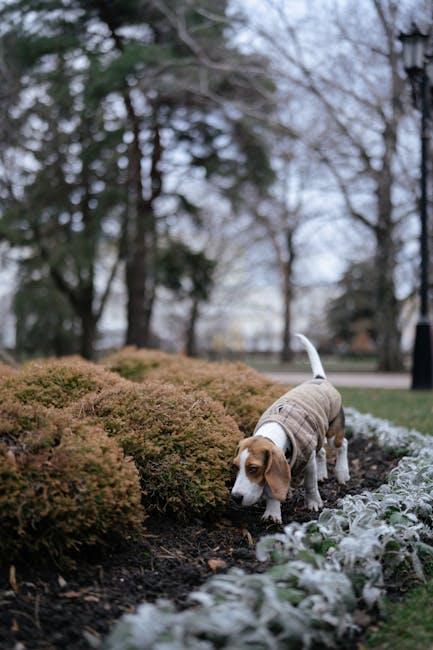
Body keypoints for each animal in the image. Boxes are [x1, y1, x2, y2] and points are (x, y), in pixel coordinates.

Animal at [231, 334, 350, 520]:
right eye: (236, 466)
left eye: (253, 468)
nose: (235, 497)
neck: (275, 429)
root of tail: (319, 379)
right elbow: (272, 490)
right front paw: (272, 511)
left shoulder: (307, 460)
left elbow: (310, 484)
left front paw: (314, 503)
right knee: (322, 451)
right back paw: (322, 474)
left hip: (333, 432)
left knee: (342, 444)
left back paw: (342, 472)